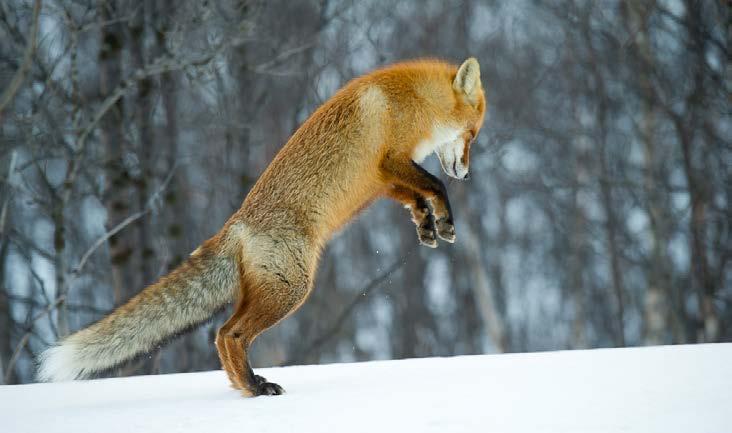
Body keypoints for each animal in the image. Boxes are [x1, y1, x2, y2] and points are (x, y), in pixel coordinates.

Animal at [38, 57, 486, 394]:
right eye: (472, 134)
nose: (467, 175)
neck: (412, 102)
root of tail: (235, 225)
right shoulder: (390, 160)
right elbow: (433, 184)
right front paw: (445, 219)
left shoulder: (380, 181)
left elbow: (415, 196)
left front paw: (426, 225)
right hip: (291, 289)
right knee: (228, 334)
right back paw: (254, 387)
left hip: (266, 290)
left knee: (221, 334)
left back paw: (244, 386)